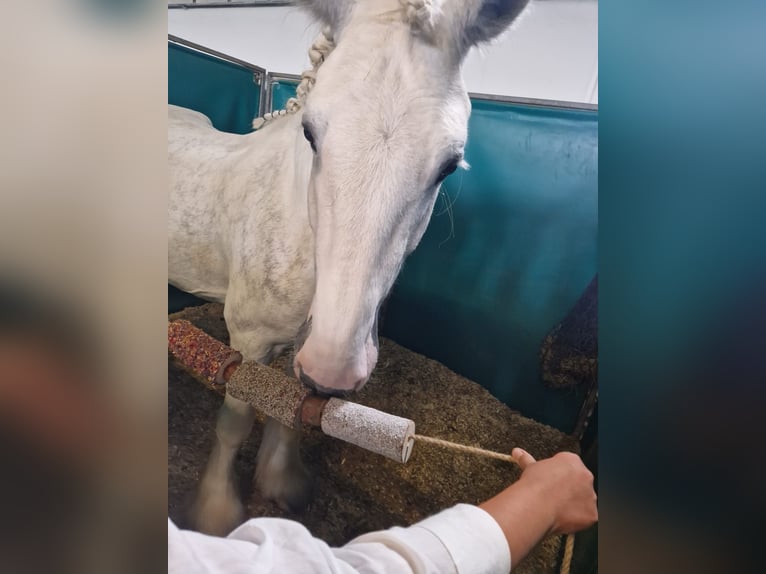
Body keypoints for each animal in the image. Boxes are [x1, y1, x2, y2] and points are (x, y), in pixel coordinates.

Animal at [169, 0, 530, 535]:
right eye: (310, 133)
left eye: (449, 164)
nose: (334, 364)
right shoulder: (249, 341)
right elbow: (235, 422)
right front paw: (216, 511)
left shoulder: (300, 347)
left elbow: (293, 411)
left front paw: (281, 483)